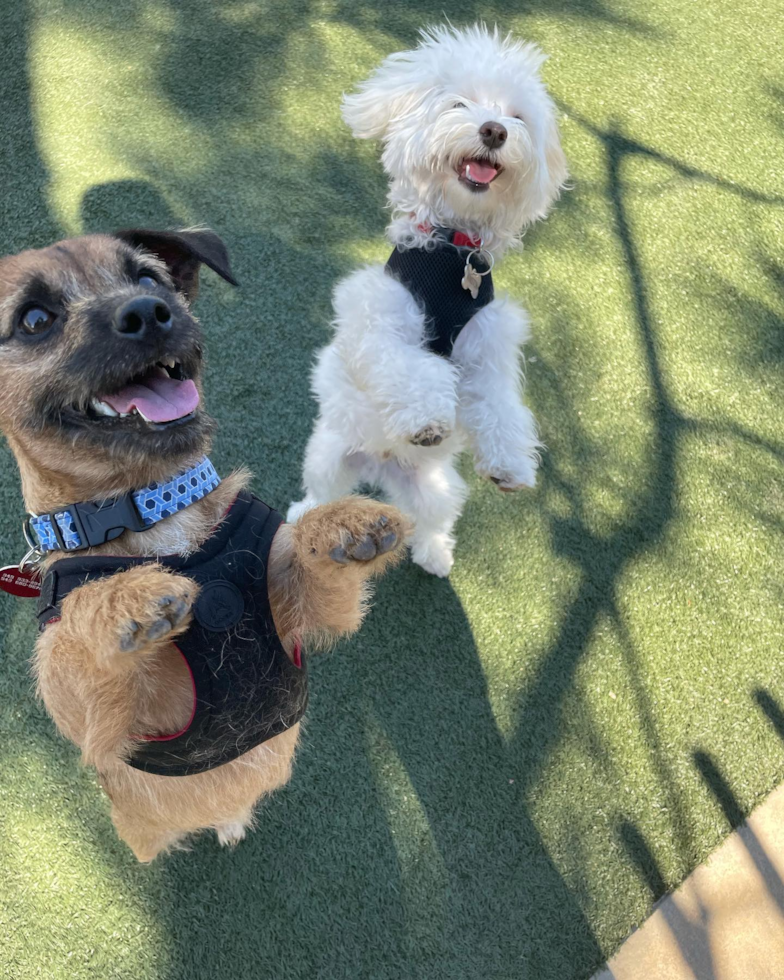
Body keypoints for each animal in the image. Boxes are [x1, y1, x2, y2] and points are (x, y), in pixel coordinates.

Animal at [3, 230, 410, 856]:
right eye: (34, 319)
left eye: (149, 278)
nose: (148, 312)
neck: (154, 507)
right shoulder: (103, 724)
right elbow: (73, 629)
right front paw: (125, 599)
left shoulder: (311, 615)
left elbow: (307, 554)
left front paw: (345, 521)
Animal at [286, 23, 564, 580]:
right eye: (458, 103)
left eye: (517, 116)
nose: (494, 131)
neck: (453, 254)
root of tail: (380, 466)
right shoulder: (378, 316)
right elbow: (408, 366)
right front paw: (425, 420)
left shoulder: (490, 347)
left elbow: (499, 405)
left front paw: (509, 463)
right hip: (328, 455)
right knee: (320, 496)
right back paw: (305, 521)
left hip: (437, 490)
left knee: (430, 521)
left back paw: (435, 553)